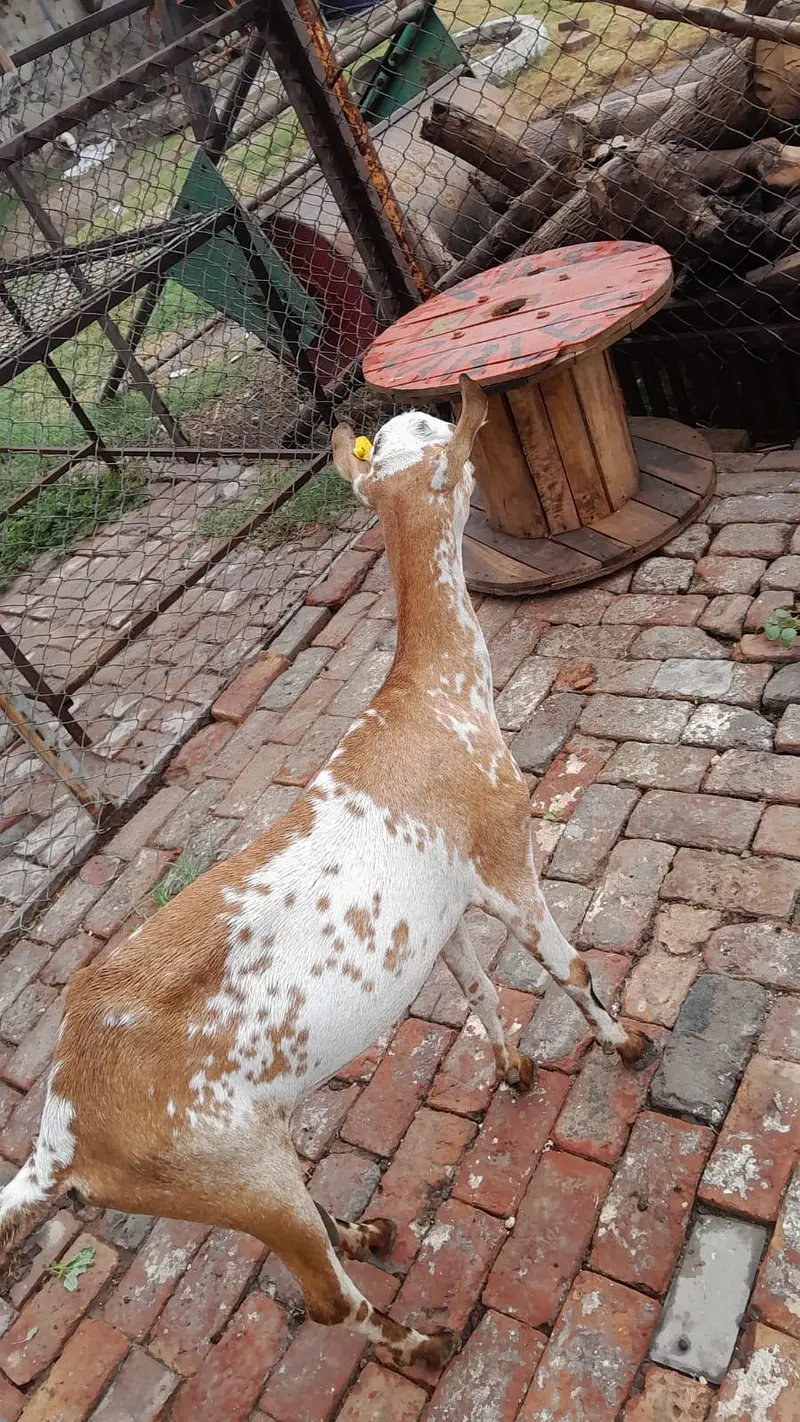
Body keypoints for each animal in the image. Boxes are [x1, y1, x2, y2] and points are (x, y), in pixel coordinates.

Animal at [0, 377, 653, 1367]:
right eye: (444, 436)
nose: (448, 414)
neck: (429, 701)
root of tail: (59, 1145)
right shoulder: (503, 852)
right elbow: (567, 966)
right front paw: (626, 1046)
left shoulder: (443, 908)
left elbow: (475, 986)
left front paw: (513, 1070)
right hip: (231, 1171)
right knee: (324, 1301)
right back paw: (421, 1342)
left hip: (248, 1164)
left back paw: (367, 1232)